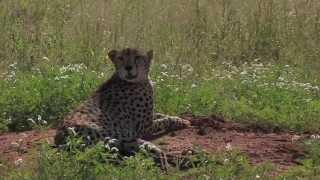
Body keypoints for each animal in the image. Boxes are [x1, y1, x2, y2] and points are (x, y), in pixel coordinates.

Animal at [54, 47, 190, 162]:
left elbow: (161, 114)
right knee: (119, 144)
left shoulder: (148, 118)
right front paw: (181, 121)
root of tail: (59, 136)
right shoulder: (145, 128)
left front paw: (181, 118)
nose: (128, 67)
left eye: (137, 57)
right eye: (121, 58)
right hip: (103, 130)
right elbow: (164, 120)